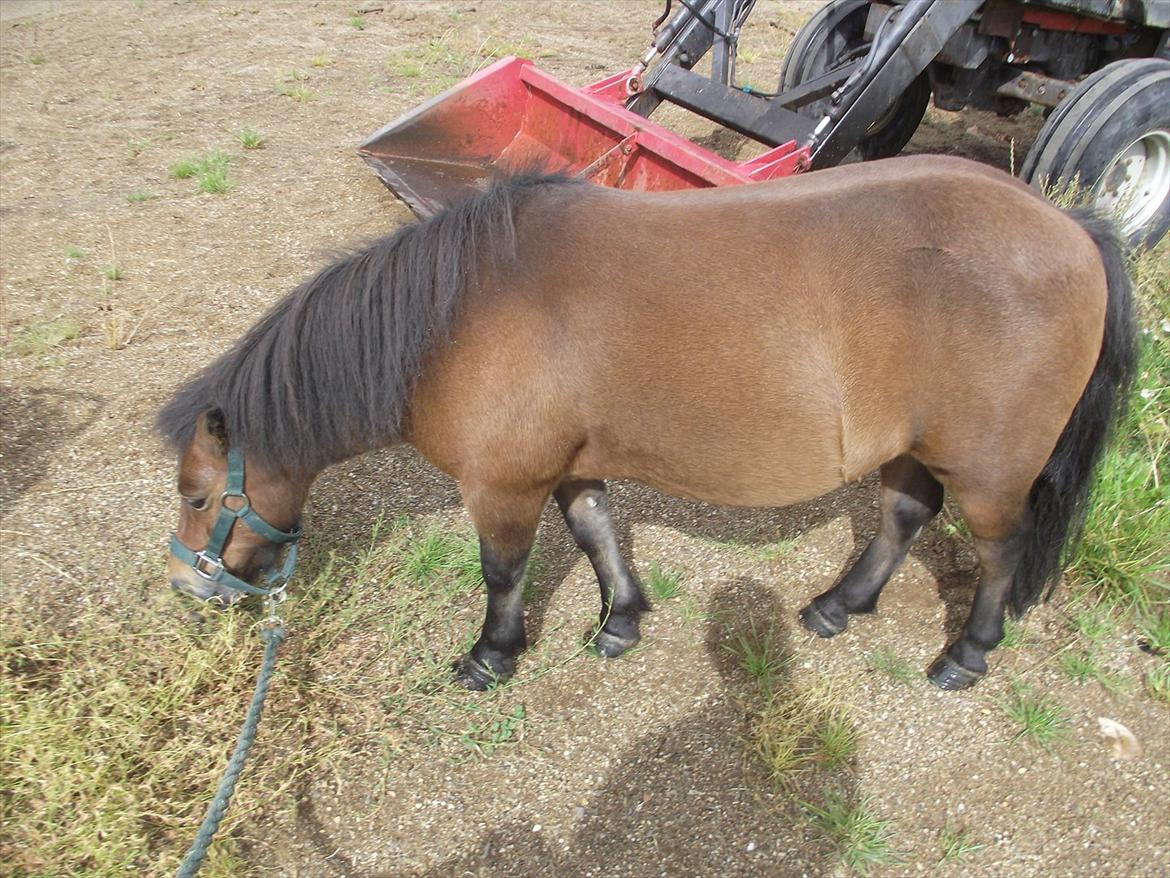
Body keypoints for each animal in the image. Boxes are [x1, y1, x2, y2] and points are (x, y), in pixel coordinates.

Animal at [157, 158, 1132, 693]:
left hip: (990, 470)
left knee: (1000, 554)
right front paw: (619, 621)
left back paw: (966, 654)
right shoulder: (569, 466)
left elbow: (503, 574)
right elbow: (597, 532)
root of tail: (1073, 227)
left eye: (199, 494)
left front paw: (491, 657)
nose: (189, 591)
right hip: (916, 449)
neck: (458, 314)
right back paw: (836, 606)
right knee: (902, 519)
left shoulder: (502, 486)